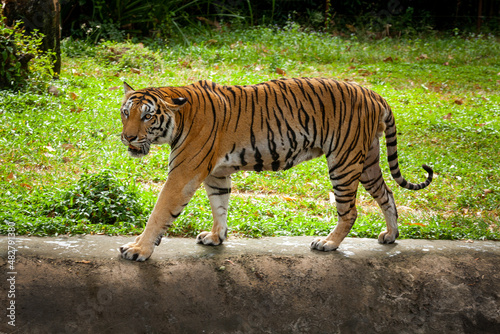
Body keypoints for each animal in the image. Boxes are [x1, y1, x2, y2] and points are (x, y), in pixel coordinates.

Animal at [119, 77, 432, 260]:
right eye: (126, 113)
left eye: (147, 117)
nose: (128, 137)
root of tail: (374, 94)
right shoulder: (217, 173)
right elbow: (220, 206)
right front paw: (216, 237)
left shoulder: (184, 173)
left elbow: (159, 212)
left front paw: (138, 249)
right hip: (367, 160)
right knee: (387, 195)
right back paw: (390, 236)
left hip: (344, 161)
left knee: (350, 211)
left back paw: (328, 243)